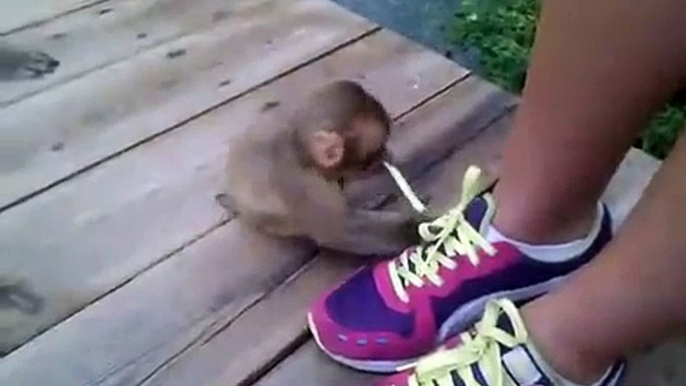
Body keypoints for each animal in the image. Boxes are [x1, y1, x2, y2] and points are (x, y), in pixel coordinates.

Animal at [223, 81, 422, 255]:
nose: (386, 154)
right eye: (374, 153)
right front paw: (416, 228)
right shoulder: (303, 185)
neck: (299, 149)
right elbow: (339, 230)